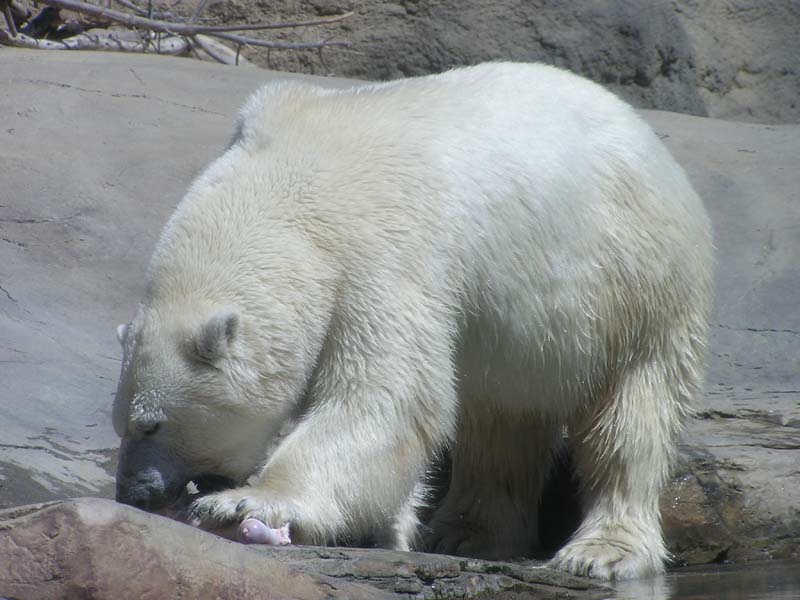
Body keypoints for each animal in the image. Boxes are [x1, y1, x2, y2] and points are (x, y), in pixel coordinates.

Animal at [112, 62, 713, 581]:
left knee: (631, 418)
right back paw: (465, 532)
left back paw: (601, 550)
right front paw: (388, 528)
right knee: (501, 420)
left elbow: (385, 398)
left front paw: (241, 504)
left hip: (636, 281)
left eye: (151, 423)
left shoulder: (380, 255)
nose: (133, 493)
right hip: (527, 333)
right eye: (123, 424)